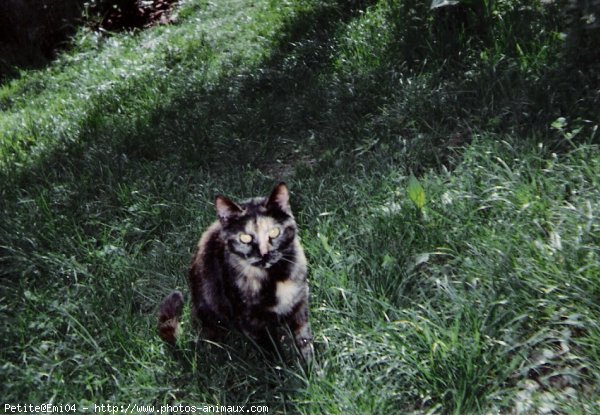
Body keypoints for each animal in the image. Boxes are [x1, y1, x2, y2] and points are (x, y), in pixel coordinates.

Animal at [157, 184, 314, 362]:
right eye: (245, 238)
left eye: (274, 232)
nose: (264, 254)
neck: (274, 277)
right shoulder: (253, 322)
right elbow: (271, 352)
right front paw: (281, 367)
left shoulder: (300, 305)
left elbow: (304, 342)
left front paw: (311, 367)